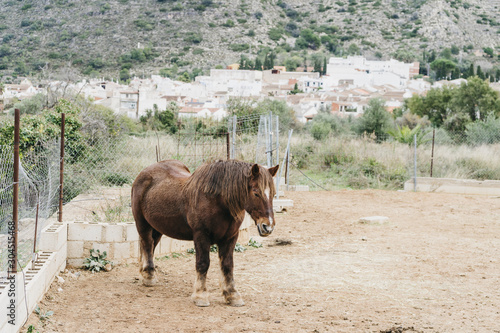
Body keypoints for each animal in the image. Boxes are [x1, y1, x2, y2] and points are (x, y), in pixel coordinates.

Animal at [131, 158, 280, 306]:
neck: (217, 201)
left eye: (273, 194)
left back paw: (145, 273)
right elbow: (203, 263)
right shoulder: (201, 235)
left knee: (150, 246)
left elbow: (227, 265)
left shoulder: (230, 237)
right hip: (142, 223)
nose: (268, 226)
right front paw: (200, 295)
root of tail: (143, 173)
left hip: (157, 228)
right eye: (256, 192)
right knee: (147, 244)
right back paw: (149, 276)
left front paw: (232, 295)